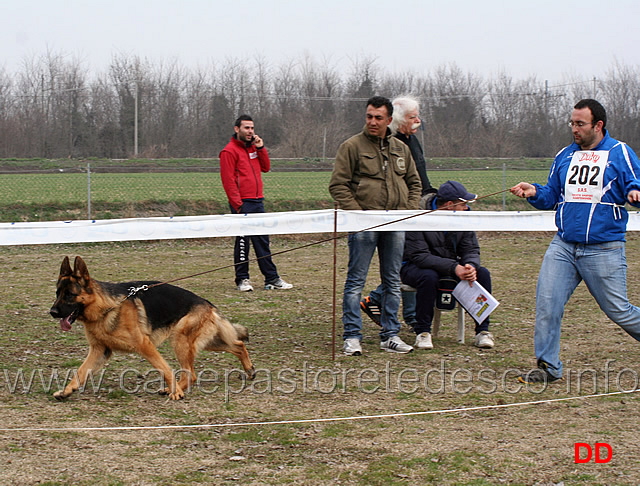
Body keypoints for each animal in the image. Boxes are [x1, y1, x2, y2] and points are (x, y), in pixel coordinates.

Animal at [49, 256, 255, 400]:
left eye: (70, 295)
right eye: (58, 293)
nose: (52, 312)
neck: (106, 307)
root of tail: (207, 303)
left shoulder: (145, 345)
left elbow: (164, 368)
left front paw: (176, 392)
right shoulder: (100, 351)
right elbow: (80, 372)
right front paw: (66, 391)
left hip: (180, 339)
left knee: (192, 374)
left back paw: (175, 390)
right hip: (204, 341)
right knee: (237, 345)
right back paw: (250, 369)